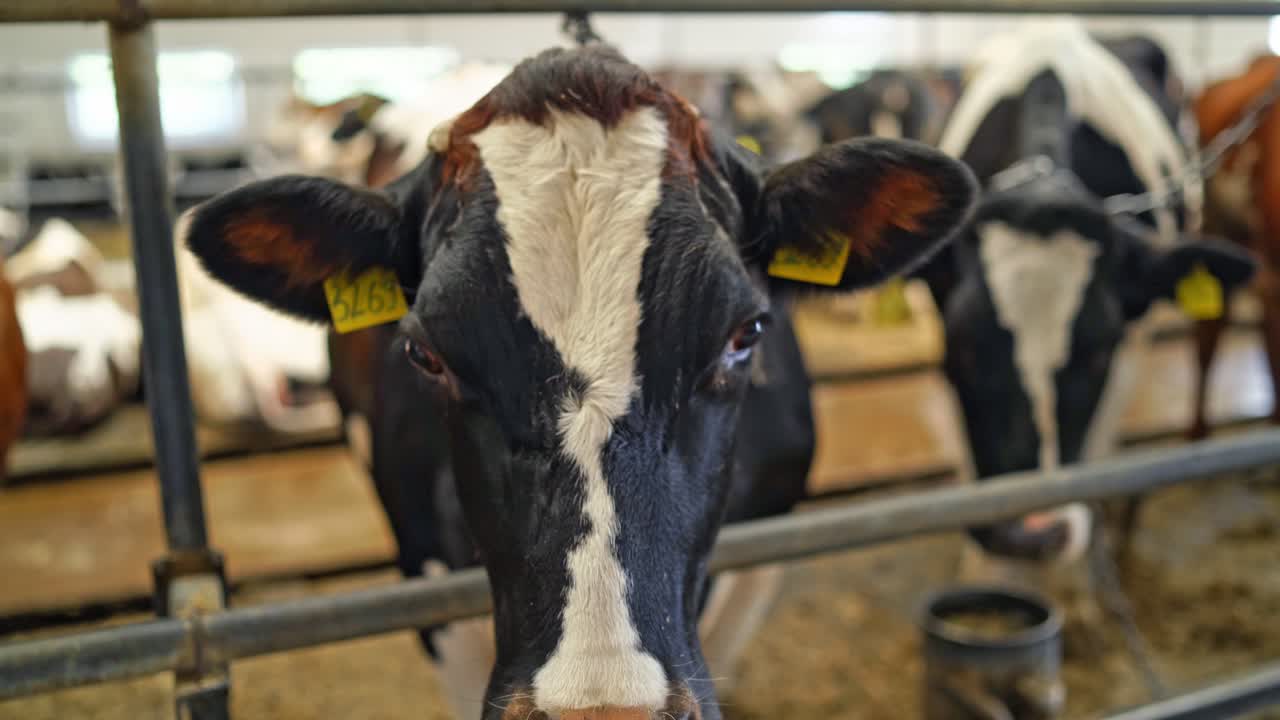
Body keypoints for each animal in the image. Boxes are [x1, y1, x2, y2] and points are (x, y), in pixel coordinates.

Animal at [921, 21, 1254, 594]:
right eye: (963, 351)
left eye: (1099, 353)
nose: (1030, 534)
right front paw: (983, 572)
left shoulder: (1130, 343)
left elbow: (1097, 452)